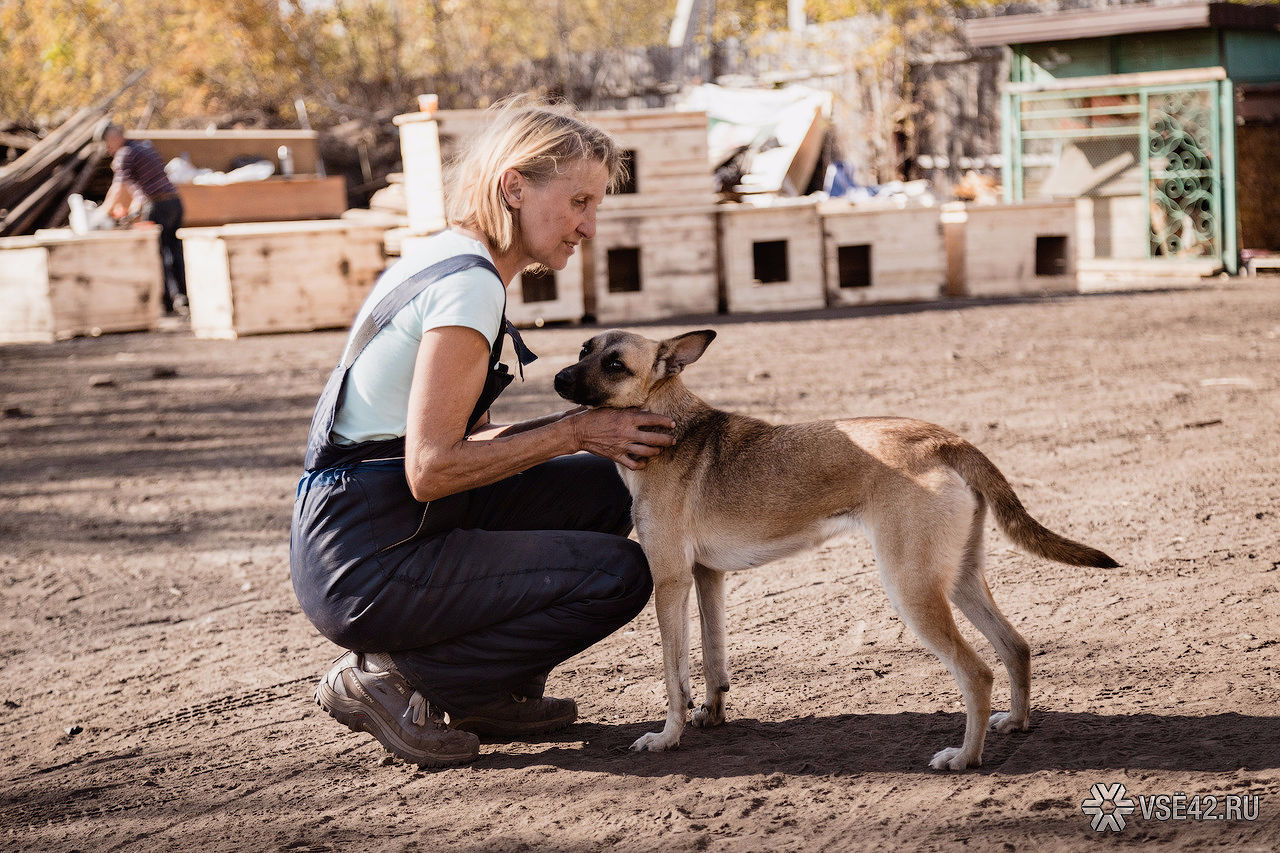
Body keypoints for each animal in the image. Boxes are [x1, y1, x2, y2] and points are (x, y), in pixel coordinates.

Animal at [552, 327, 1121, 768]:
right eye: (583, 348)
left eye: (615, 364)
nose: (558, 378)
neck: (670, 424)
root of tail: (944, 440)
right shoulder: (707, 578)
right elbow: (713, 663)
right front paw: (710, 715)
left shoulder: (669, 582)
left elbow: (674, 676)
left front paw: (666, 737)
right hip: (958, 580)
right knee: (1016, 646)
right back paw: (1016, 723)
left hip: (912, 589)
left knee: (977, 673)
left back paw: (964, 758)